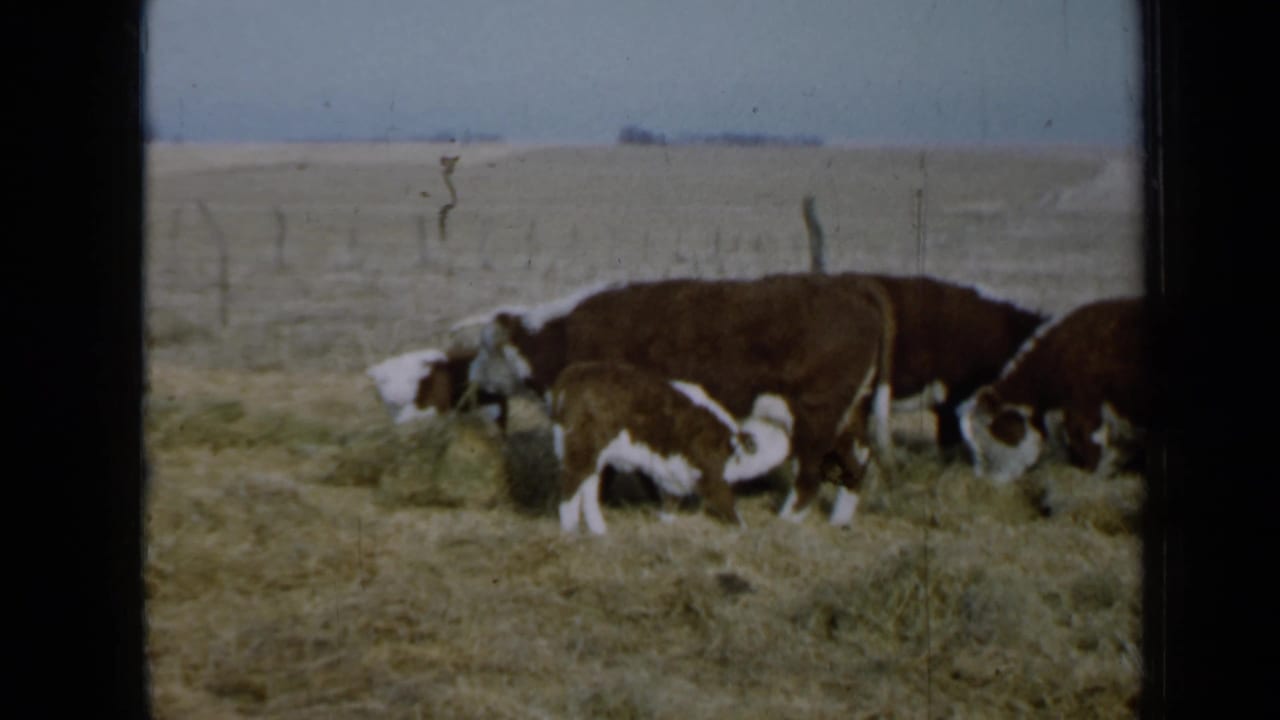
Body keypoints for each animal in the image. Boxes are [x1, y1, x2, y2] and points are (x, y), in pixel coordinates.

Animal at [550, 361, 794, 534]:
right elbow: (726, 502)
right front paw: (743, 529)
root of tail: (571, 375)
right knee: (571, 485)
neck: (731, 446)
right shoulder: (710, 473)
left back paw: (598, 530)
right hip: (581, 446)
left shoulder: (674, 470)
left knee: (588, 485)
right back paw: (570, 531)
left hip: (592, 454)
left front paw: (667, 522)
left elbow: (671, 499)